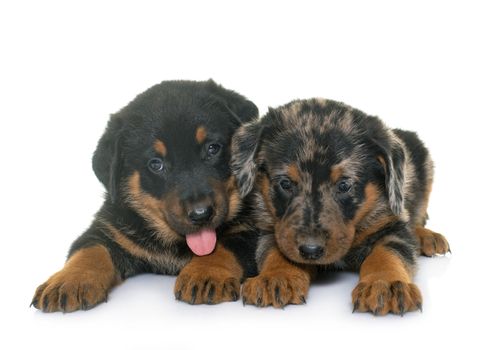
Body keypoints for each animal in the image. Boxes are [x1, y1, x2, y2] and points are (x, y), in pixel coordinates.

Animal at [32, 79, 260, 312]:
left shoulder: (254, 229)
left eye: (213, 148)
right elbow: (90, 249)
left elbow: (225, 245)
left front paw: (205, 272)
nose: (201, 213)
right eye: (156, 164)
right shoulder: (107, 228)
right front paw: (69, 281)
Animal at [232, 98, 450, 314]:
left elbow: (388, 253)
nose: (311, 250)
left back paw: (427, 236)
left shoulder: (391, 225)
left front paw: (385, 283)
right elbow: (277, 251)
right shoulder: (273, 228)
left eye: (344, 185)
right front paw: (276, 277)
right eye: (285, 183)